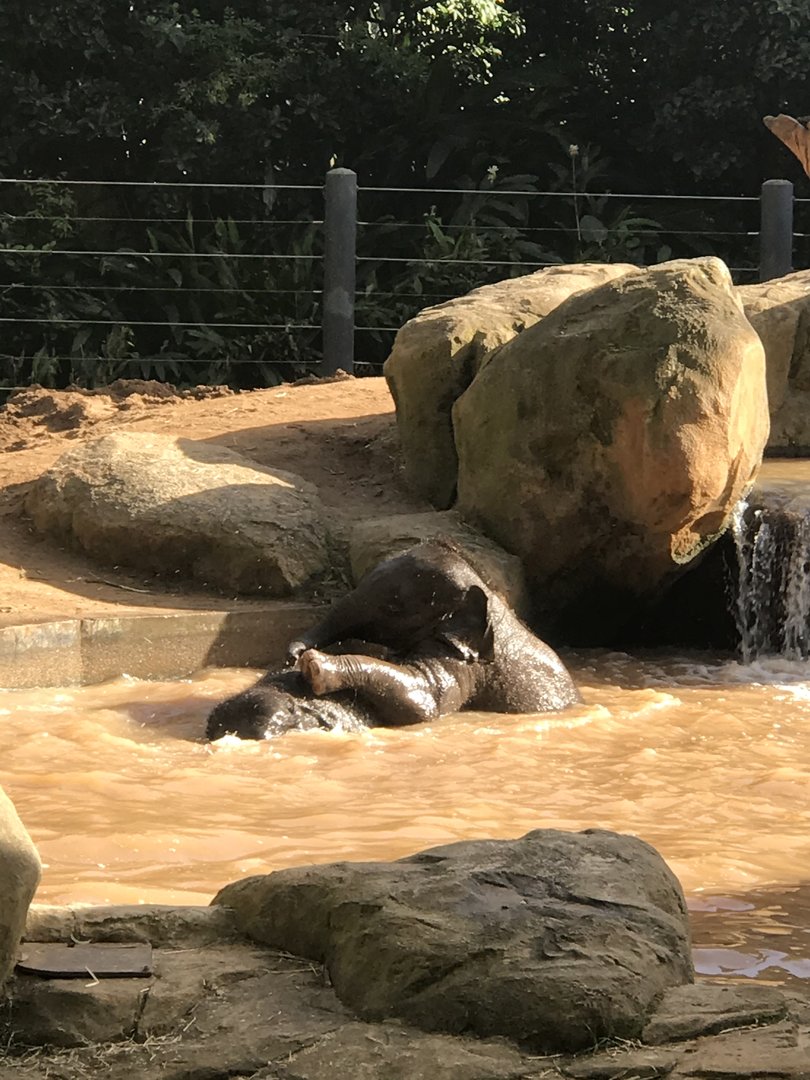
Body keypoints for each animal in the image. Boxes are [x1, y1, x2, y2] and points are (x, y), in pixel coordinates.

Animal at [206, 541, 581, 740]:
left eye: (394, 605)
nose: (294, 653)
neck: (486, 590)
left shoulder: (466, 666)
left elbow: (423, 702)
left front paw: (317, 667)